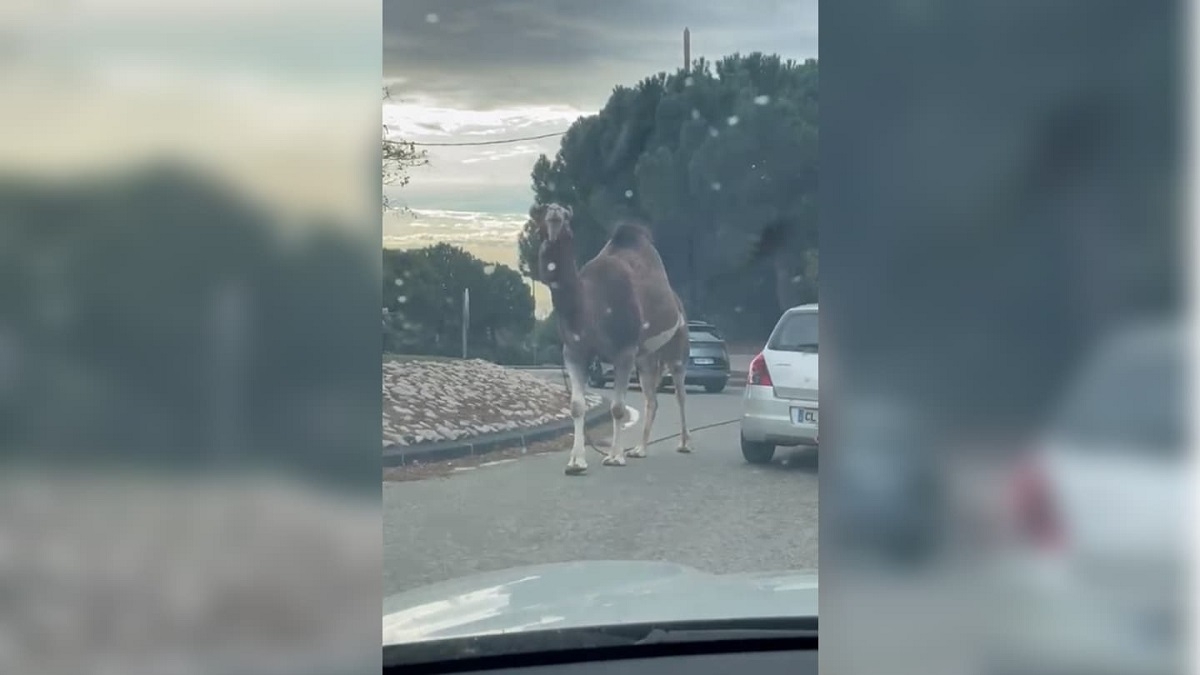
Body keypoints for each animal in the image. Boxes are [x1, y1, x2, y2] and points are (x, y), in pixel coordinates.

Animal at [532, 200, 691, 473]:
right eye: (543, 217)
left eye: (566, 217)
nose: (554, 211)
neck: (589, 306)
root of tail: (678, 303)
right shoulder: (573, 351)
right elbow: (576, 406)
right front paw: (576, 462)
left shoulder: (623, 351)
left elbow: (617, 408)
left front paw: (615, 457)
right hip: (646, 358)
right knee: (652, 399)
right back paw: (639, 449)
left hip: (676, 346)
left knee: (680, 393)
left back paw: (683, 444)